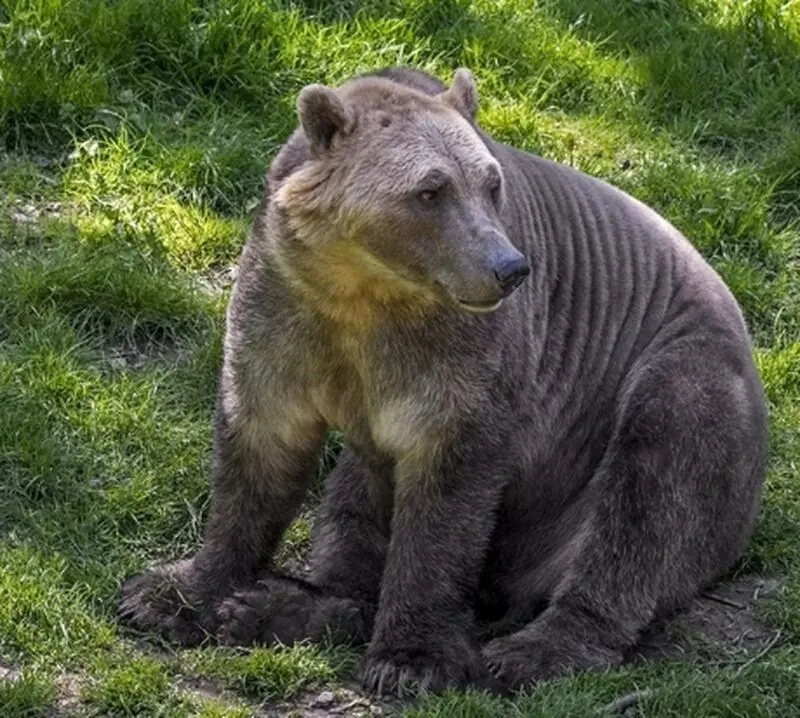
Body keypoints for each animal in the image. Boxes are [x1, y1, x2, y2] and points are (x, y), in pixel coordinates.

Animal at [119, 67, 768, 696]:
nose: (509, 268)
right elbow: (259, 443)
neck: (362, 289)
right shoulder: (285, 308)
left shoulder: (464, 360)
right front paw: (169, 594)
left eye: (490, 184)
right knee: (351, 504)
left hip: (676, 380)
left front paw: (413, 659)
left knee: (649, 495)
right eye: (430, 190)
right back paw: (276, 608)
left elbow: (447, 494)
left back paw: (532, 651)